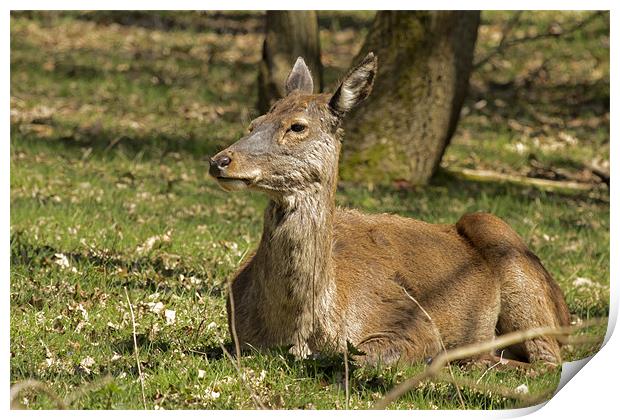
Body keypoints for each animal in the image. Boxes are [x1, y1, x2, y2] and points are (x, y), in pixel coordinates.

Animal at [209, 53, 572, 368]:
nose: (220, 160)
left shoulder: (412, 319)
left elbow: (361, 358)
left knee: (546, 360)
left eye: (297, 126)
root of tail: (566, 312)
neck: (300, 331)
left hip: (514, 263)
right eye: (254, 123)